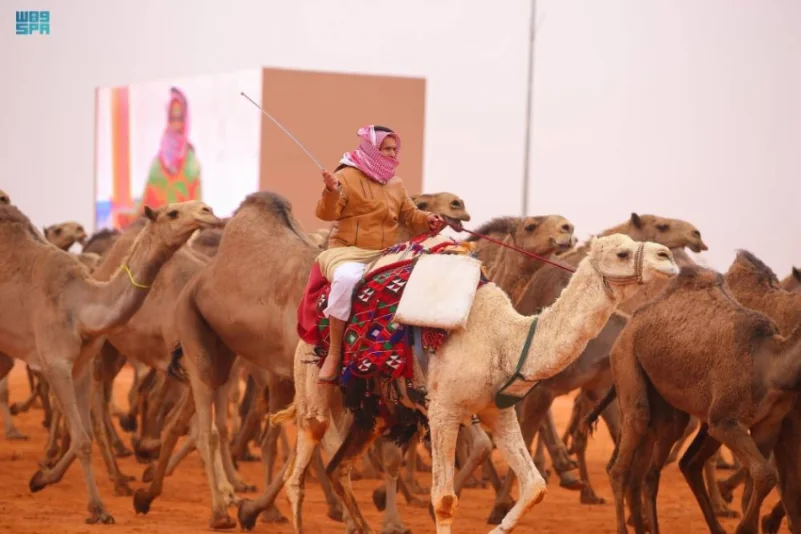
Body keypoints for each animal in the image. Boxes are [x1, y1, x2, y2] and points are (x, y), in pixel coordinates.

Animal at [0, 199, 220, 524]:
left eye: (203, 208)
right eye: (172, 213)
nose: (208, 212)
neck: (80, 306)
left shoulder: (81, 362)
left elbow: (85, 432)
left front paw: (41, 478)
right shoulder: (55, 361)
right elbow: (82, 437)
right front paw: (99, 509)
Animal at [604, 266, 800, 534]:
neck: (771, 364)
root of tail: (630, 321)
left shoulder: (769, 426)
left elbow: (760, 478)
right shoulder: (723, 420)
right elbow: (766, 474)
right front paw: (743, 527)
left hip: (666, 406)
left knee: (650, 472)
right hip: (626, 358)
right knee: (624, 458)